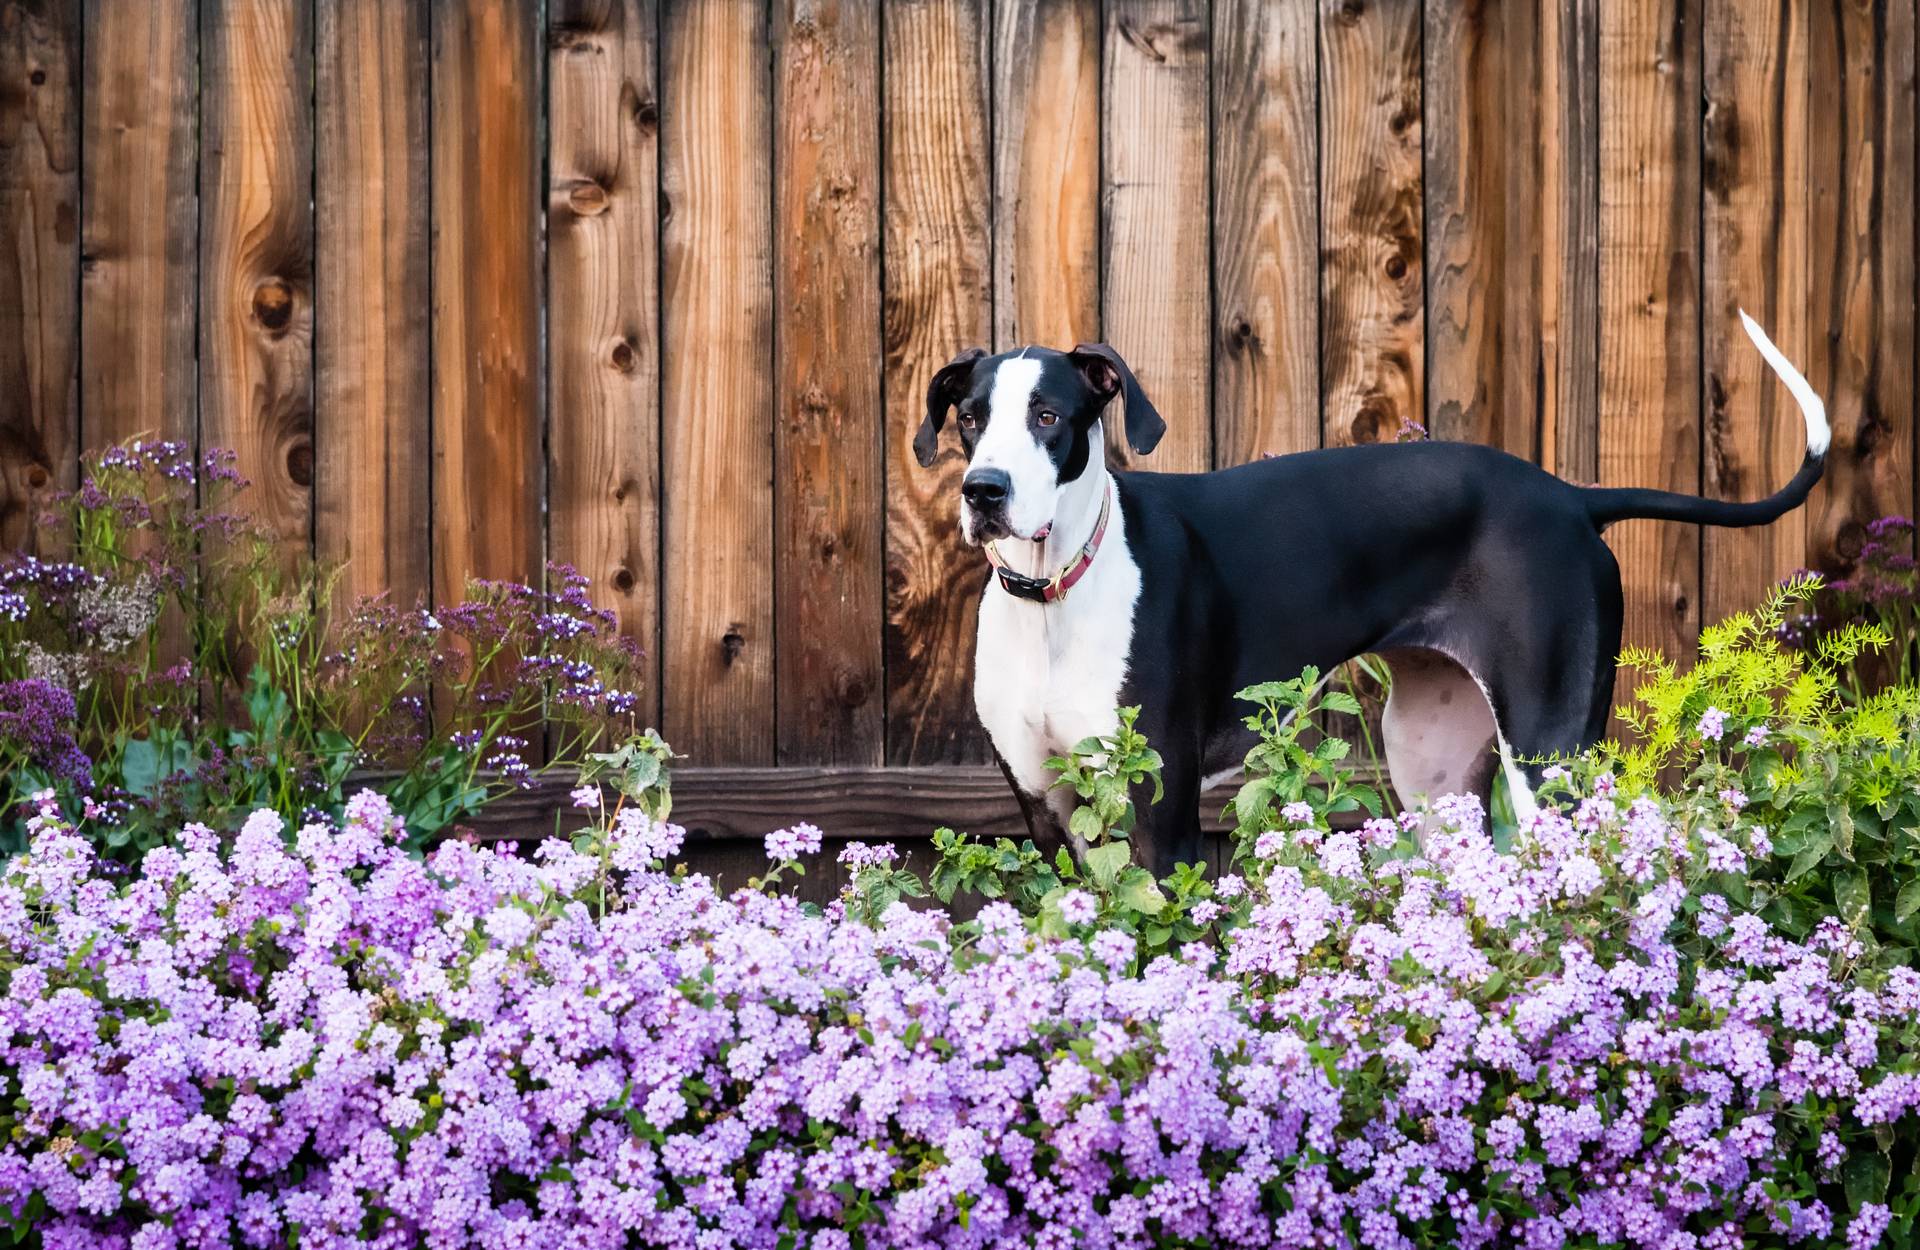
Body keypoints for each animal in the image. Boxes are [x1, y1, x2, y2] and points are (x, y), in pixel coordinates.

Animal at [921, 318, 1835, 875]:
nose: (984, 491)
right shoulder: (1046, 812)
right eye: (970, 417)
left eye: (1048, 416)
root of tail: (1572, 497)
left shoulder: (1163, 816)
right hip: (1431, 769)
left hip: (1548, 756)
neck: (1053, 596)